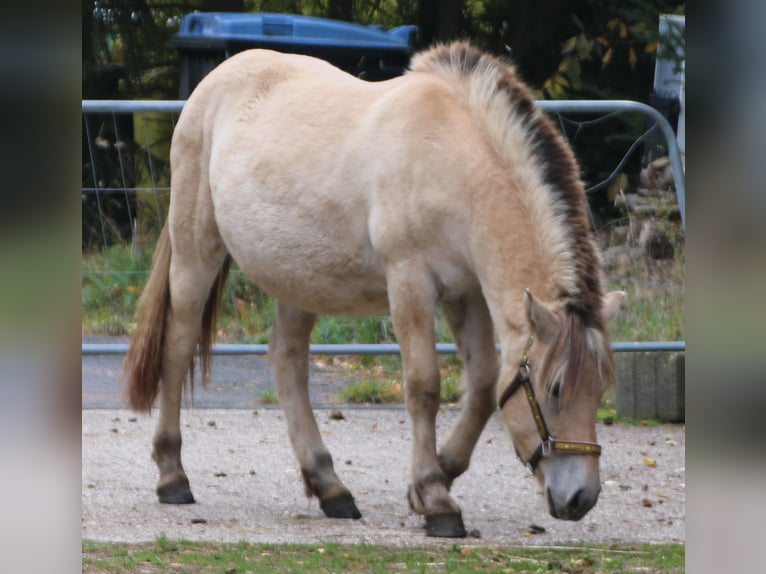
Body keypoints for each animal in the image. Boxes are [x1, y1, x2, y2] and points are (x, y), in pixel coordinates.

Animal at [120, 41, 624, 540]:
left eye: (601, 387)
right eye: (554, 388)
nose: (580, 498)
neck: (452, 158)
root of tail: (213, 83)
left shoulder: (467, 294)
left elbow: (482, 385)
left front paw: (438, 475)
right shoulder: (410, 283)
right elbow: (424, 386)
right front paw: (436, 500)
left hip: (298, 280)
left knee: (287, 363)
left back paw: (330, 487)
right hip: (196, 252)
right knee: (178, 345)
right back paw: (173, 477)